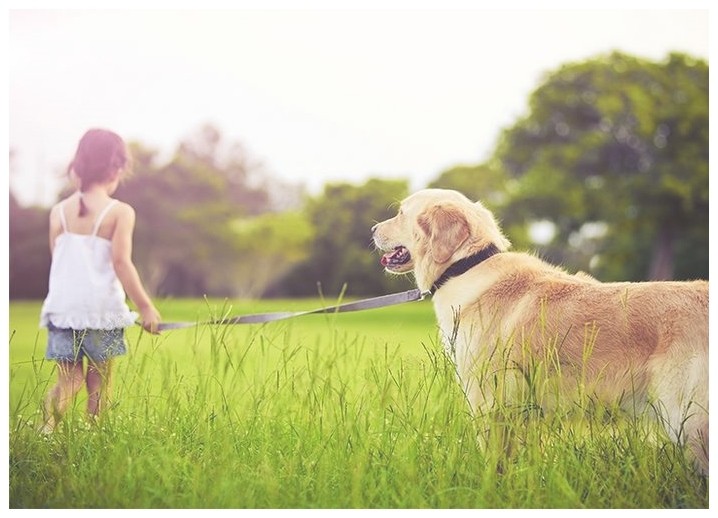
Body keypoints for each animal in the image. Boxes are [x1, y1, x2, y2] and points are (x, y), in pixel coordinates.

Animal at [374, 190, 712, 476]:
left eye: (401, 213)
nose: (373, 229)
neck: (466, 266)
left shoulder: (488, 403)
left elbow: (493, 464)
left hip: (691, 421)